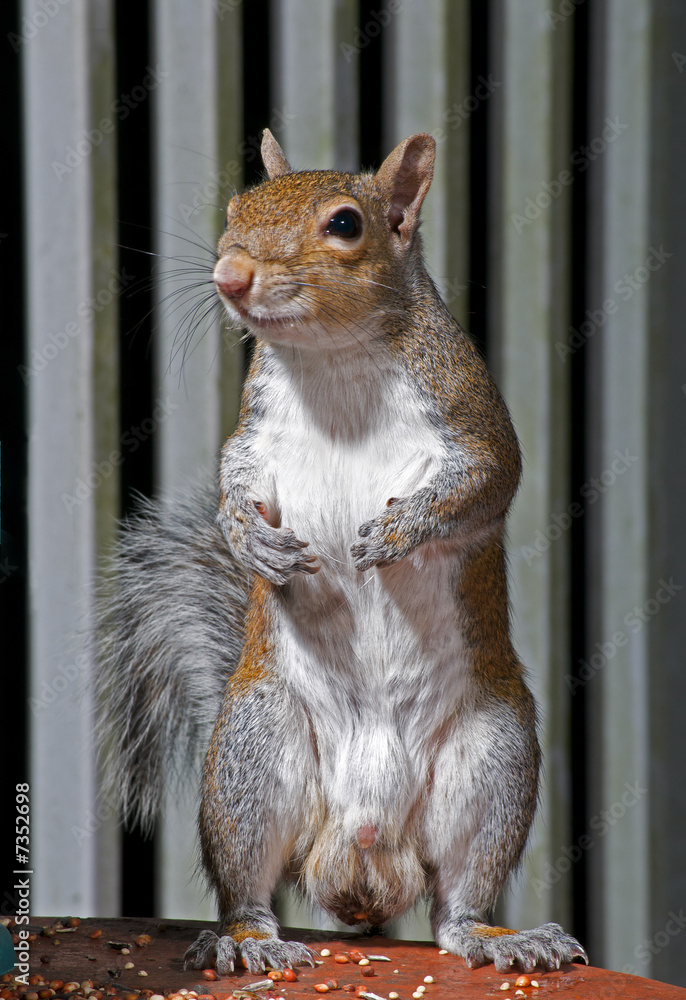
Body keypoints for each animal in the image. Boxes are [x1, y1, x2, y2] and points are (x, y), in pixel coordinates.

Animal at [96, 129, 588, 977]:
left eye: (347, 225)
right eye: (237, 208)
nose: (230, 274)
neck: (333, 360)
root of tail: (360, 853)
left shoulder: (473, 421)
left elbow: (483, 484)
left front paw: (400, 531)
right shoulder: (254, 437)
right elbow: (233, 484)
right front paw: (247, 537)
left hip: (493, 757)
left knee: (456, 903)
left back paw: (501, 937)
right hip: (253, 754)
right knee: (248, 887)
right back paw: (245, 943)